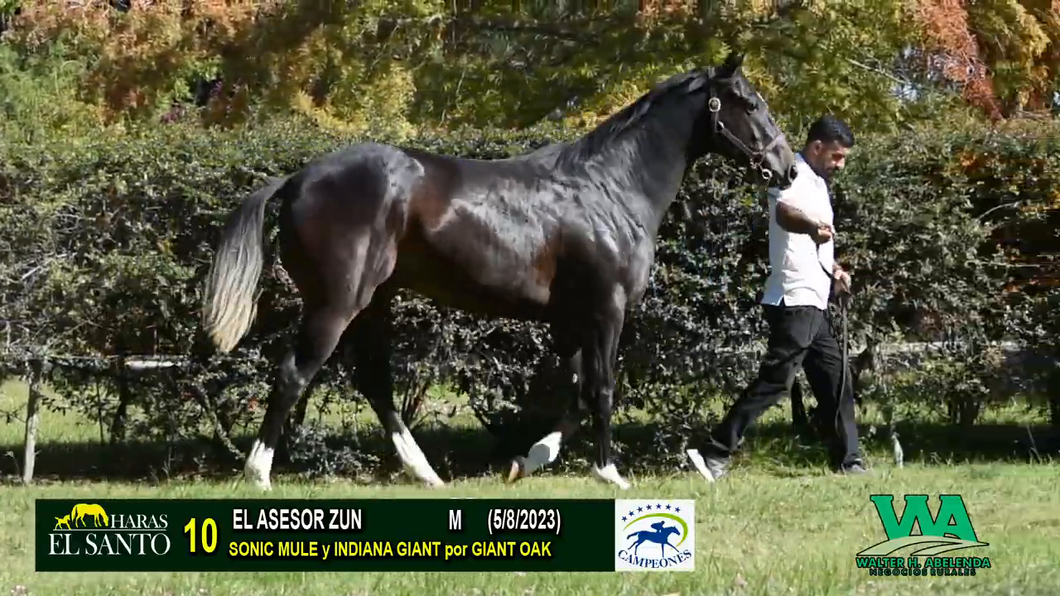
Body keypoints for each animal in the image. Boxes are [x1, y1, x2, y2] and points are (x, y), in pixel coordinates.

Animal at [200, 51, 798, 491]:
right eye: (749, 103)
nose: (788, 168)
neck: (610, 188)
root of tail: (298, 179)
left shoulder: (570, 321)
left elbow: (577, 393)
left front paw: (527, 460)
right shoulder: (606, 311)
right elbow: (603, 388)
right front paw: (610, 473)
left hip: (374, 303)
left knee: (375, 382)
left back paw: (426, 473)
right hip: (336, 303)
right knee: (293, 374)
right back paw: (259, 474)